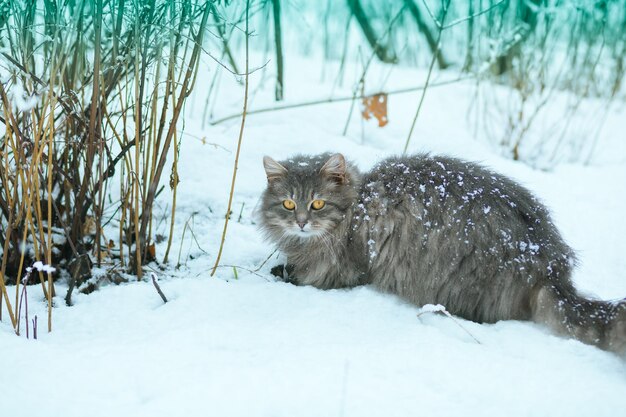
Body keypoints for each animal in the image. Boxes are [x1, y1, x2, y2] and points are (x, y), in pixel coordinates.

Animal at [258, 153, 624, 354]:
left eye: (318, 203)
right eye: (288, 204)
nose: (301, 222)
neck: (357, 205)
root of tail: (550, 262)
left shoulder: (345, 267)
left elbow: (306, 277)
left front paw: (281, 273)